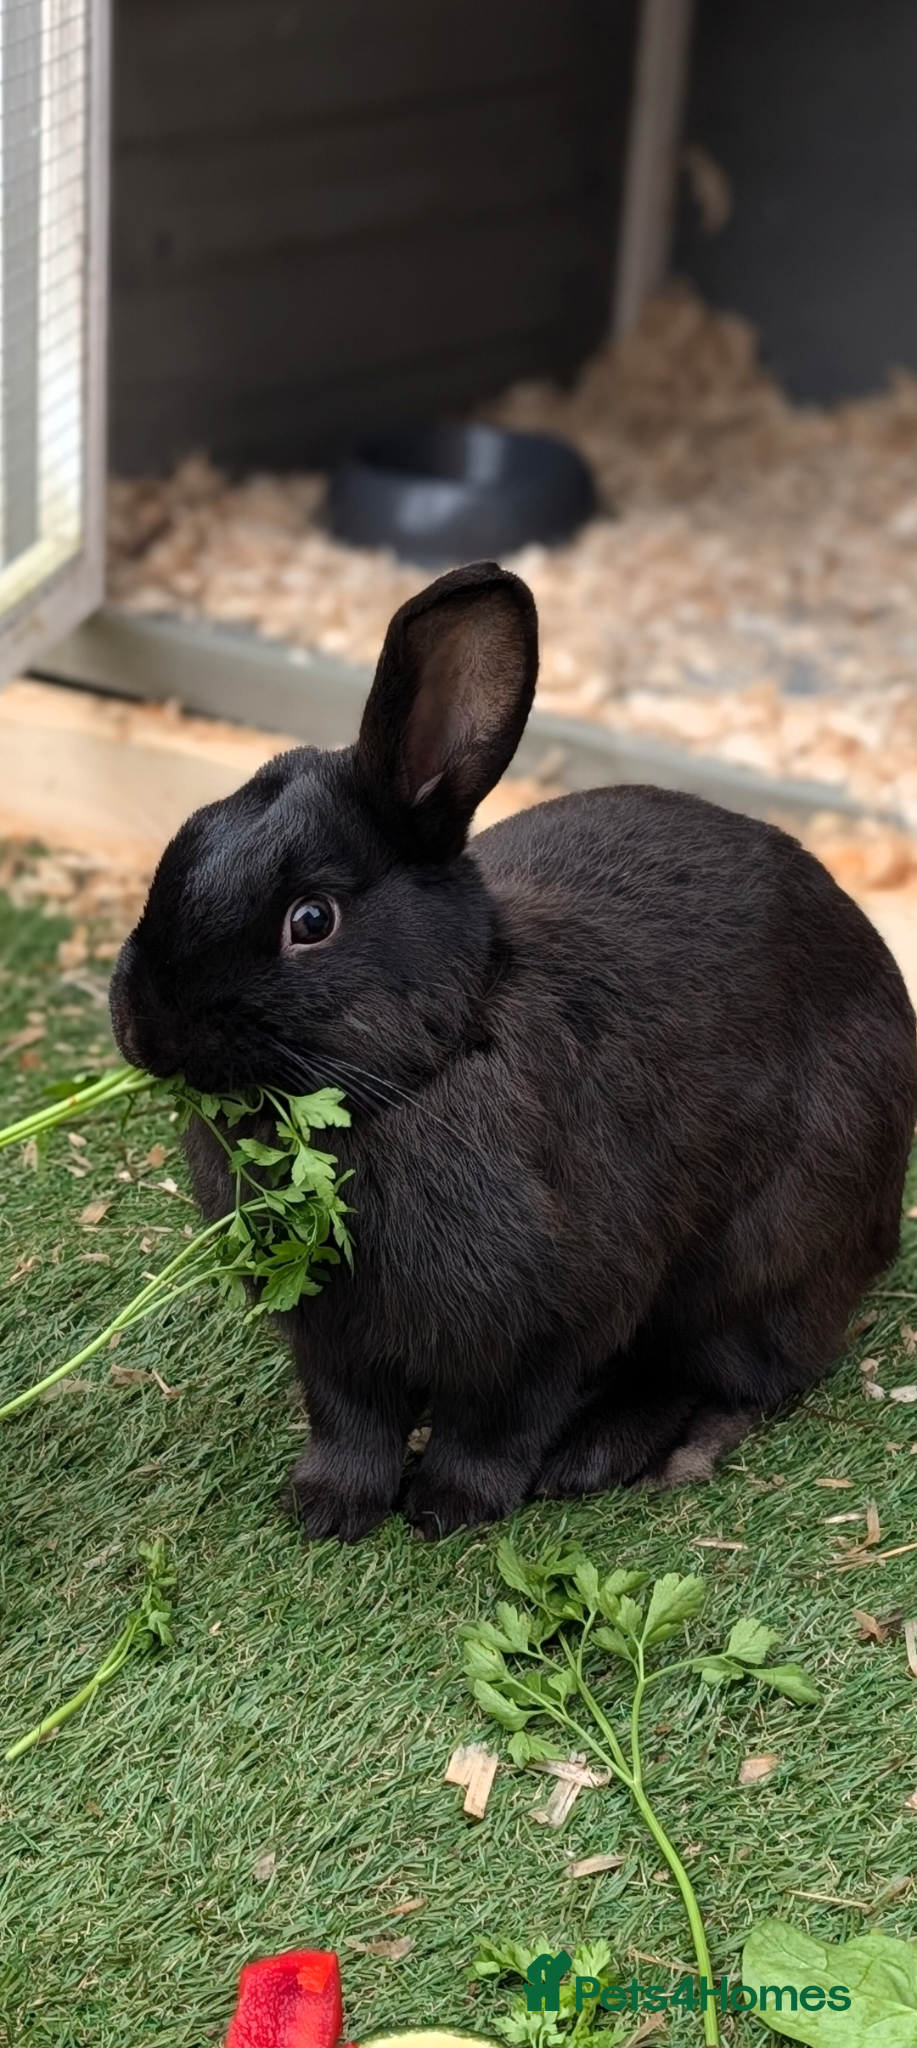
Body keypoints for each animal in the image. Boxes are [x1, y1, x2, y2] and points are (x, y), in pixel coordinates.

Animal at [109, 561, 917, 1541]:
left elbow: (493, 1423)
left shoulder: (548, 1326)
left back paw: (615, 1453)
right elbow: (350, 1420)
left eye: (311, 920)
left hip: (756, 1261)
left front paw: (447, 1508)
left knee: (740, 1374)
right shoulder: (334, 1343)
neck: (431, 1060)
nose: (143, 1027)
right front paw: (328, 1510)